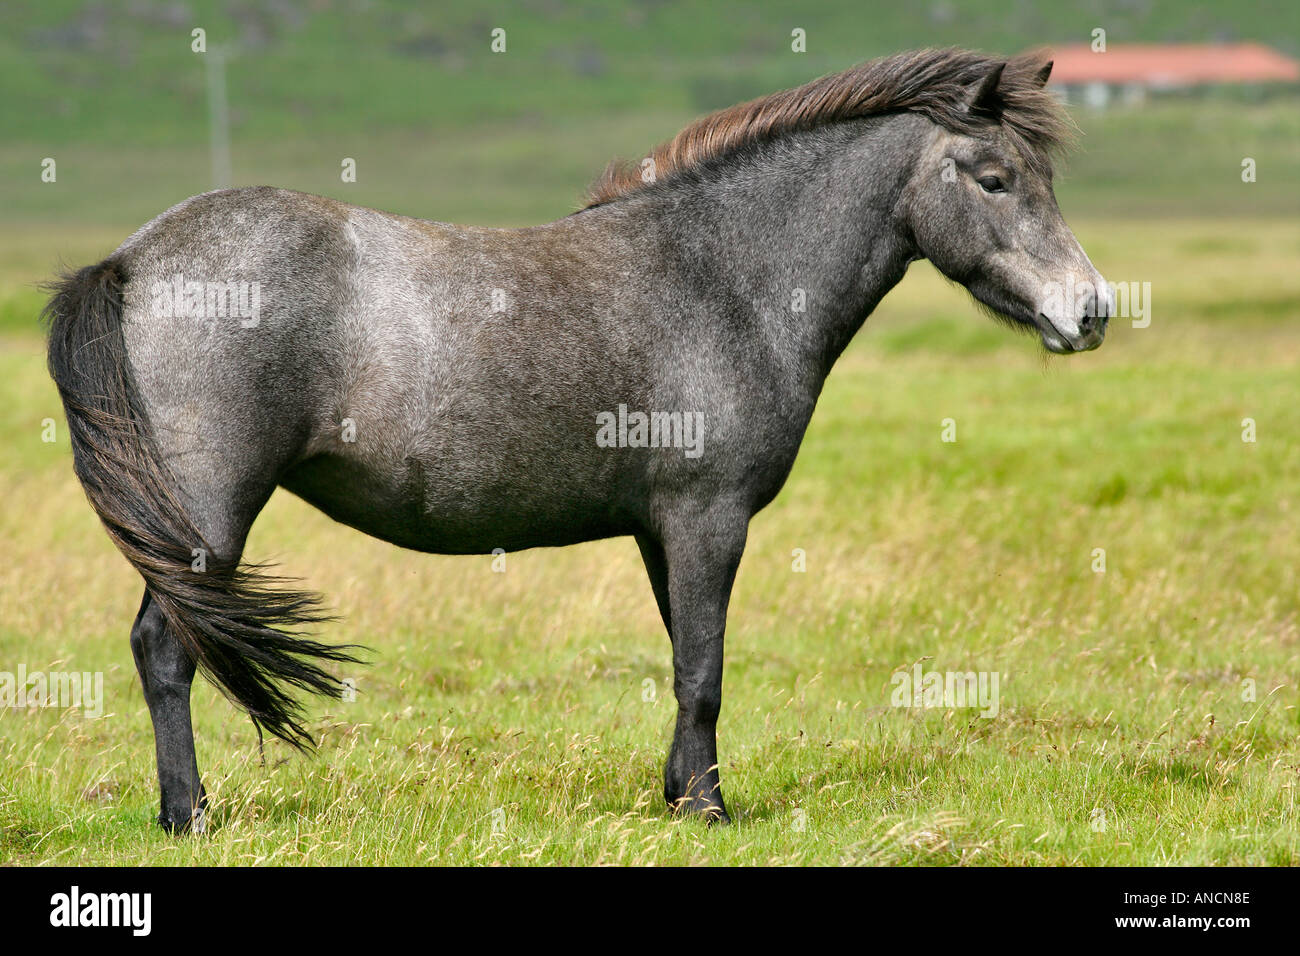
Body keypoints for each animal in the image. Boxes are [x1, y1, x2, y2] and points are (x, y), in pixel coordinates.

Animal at [44, 48, 1109, 832]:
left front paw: (681, 795)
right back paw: (189, 815)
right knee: (165, 647)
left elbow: (684, 656)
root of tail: (131, 260)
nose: (1092, 311)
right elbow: (703, 670)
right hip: (208, 516)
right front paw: (709, 813)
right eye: (996, 178)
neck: (721, 277)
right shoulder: (708, 518)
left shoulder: (659, 530)